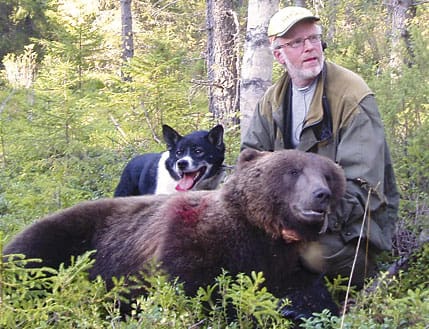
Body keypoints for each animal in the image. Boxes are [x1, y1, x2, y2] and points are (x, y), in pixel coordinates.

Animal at [2, 149, 344, 318]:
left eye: (328, 174)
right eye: (293, 171)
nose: (321, 194)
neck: (259, 230)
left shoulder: (286, 261)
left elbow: (308, 291)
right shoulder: (190, 236)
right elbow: (189, 286)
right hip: (62, 237)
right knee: (28, 256)